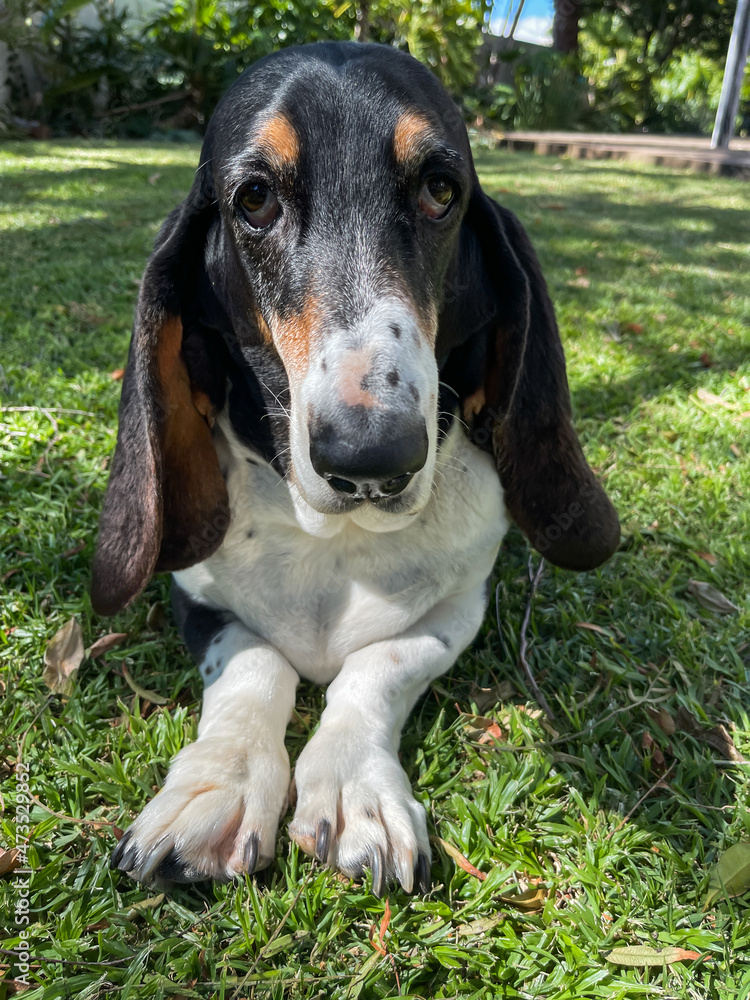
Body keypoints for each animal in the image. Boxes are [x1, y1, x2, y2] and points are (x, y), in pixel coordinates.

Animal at [92, 43, 624, 896]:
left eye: (441, 190)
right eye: (254, 198)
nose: (371, 455)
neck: (332, 543)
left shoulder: (455, 613)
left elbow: (378, 666)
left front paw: (352, 790)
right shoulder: (199, 600)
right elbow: (255, 667)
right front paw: (215, 787)